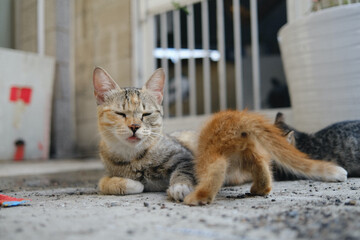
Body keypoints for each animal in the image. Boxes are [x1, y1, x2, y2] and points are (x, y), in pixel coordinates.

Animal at [91, 67, 195, 201]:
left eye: (147, 114)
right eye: (120, 113)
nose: (134, 126)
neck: (133, 157)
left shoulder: (184, 156)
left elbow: (184, 170)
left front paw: (181, 186)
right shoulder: (108, 174)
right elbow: (103, 183)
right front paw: (133, 184)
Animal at [184, 109, 348, 205]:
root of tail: (240, 117)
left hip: (210, 153)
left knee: (216, 168)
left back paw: (199, 197)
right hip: (250, 154)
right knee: (261, 166)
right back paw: (261, 189)